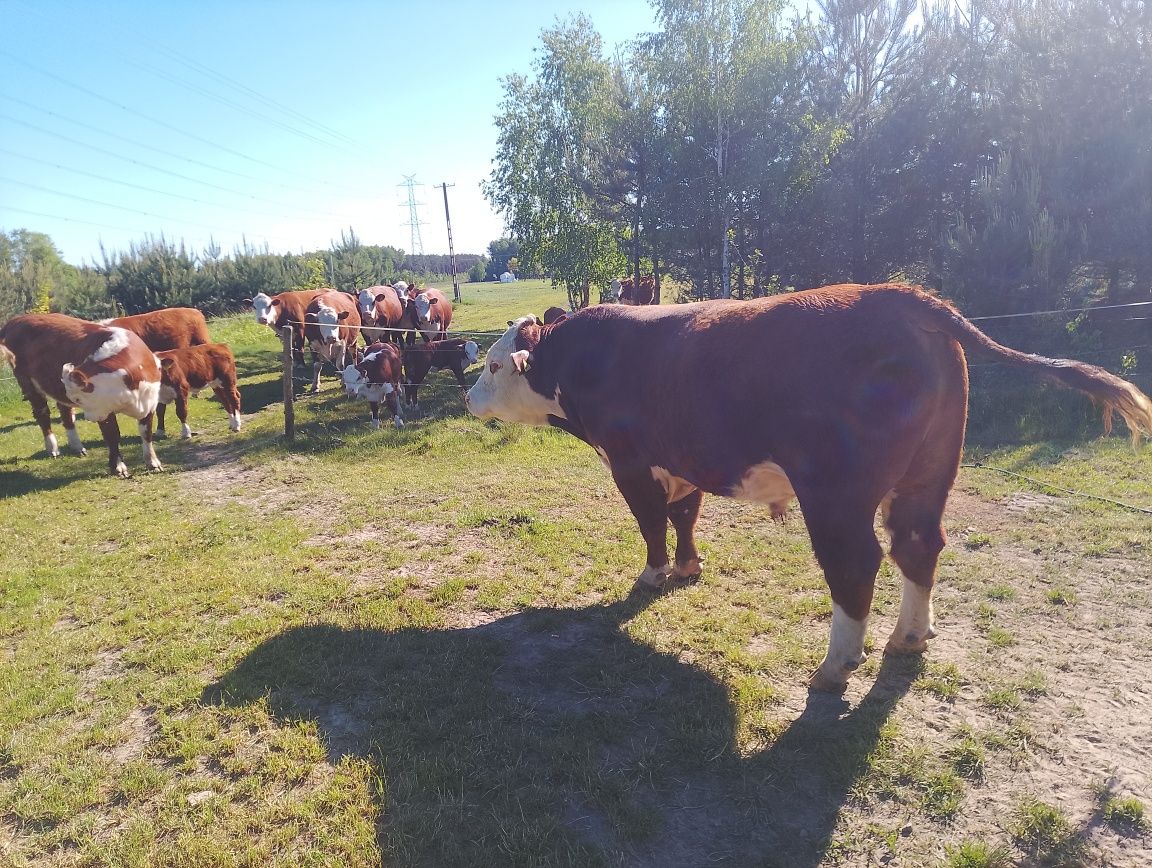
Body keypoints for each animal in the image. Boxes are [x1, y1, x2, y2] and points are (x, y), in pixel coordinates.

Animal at [0, 311, 164, 474]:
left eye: (79, 399)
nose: (88, 417)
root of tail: (18, 319)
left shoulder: (150, 402)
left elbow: (146, 433)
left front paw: (153, 462)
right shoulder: (106, 412)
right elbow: (112, 436)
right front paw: (118, 466)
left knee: (66, 413)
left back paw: (77, 447)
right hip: (29, 385)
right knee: (42, 414)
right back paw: (53, 448)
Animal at [465, 284, 1152, 691]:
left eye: (495, 364)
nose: (470, 397)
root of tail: (900, 296)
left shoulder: (631, 462)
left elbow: (652, 522)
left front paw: (654, 575)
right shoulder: (684, 460)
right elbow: (685, 516)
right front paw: (688, 567)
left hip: (835, 493)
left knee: (857, 563)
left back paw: (835, 665)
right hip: (929, 474)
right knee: (918, 544)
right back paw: (908, 637)